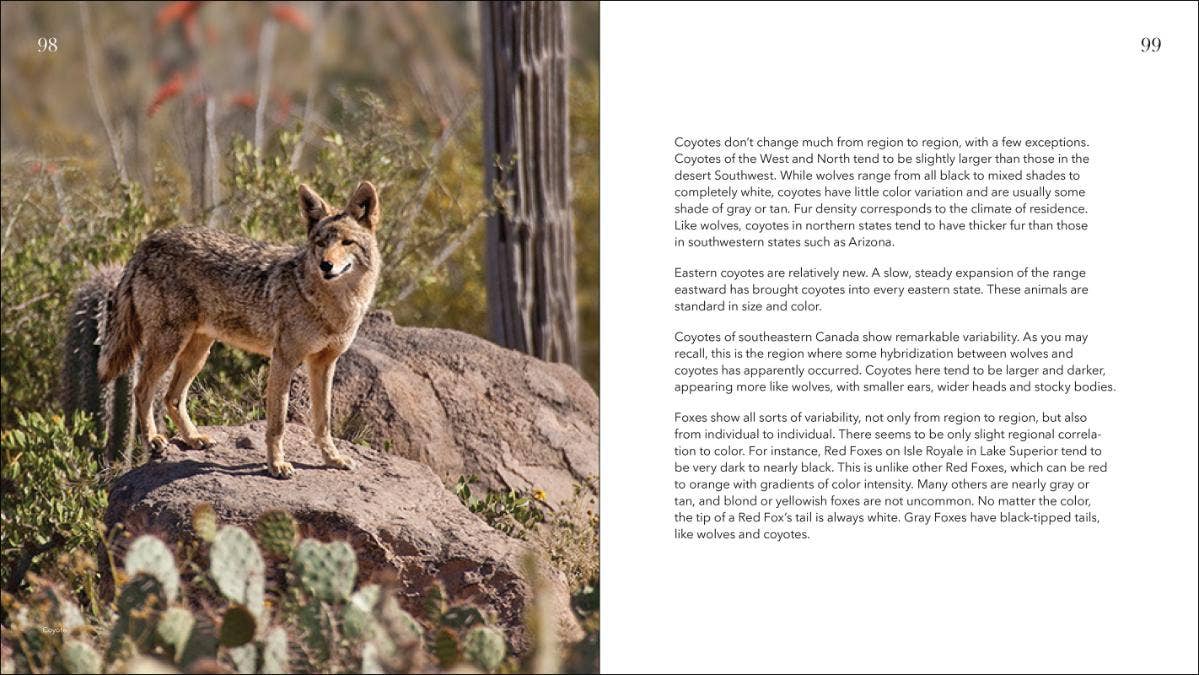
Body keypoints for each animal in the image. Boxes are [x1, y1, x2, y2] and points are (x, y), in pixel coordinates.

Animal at [98, 181, 381, 479]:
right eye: (321, 243)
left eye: (346, 243)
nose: (326, 265)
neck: (334, 305)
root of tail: (150, 241)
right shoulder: (284, 359)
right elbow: (277, 423)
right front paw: (276, 465)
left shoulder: (324, 364)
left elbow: (323, 422)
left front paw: (332, 459)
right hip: (168, 346)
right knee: (142, 390)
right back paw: (154, 440)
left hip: (198, 353)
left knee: (172, 397)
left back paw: (193, 439)